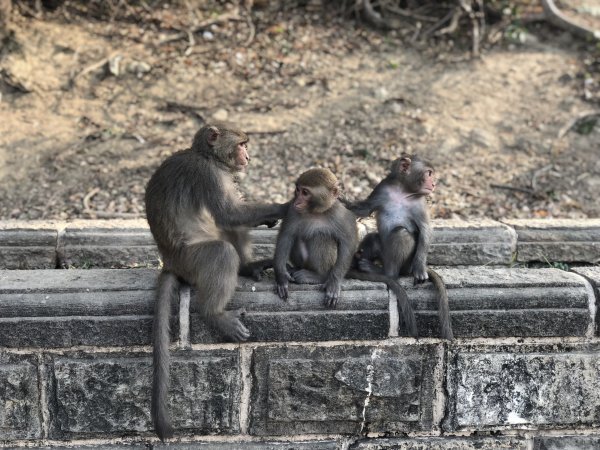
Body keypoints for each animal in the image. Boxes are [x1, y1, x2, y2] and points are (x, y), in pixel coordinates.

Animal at [144, 122, 288, 440]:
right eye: (242, 144)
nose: (248, 156)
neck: (208, 158)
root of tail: (170, 262)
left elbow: (231, 216)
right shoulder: (208, 176)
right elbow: (229, 212)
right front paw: (285, 206)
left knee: (228, 229)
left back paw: (246, 267)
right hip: (192, 260)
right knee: (221, 250)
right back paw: (215, 314)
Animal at [346, 155, 454, 342]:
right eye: (429, 173)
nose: (434, 184)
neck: (403, 192)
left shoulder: (419, 203)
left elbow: (425, 230)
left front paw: (420, 270)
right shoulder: (382, 188)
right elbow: (364, 210)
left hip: (405, 264)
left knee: (401, 234)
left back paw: (384, 273)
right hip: (382, 251)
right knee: (373, 238)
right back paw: (361, 260)